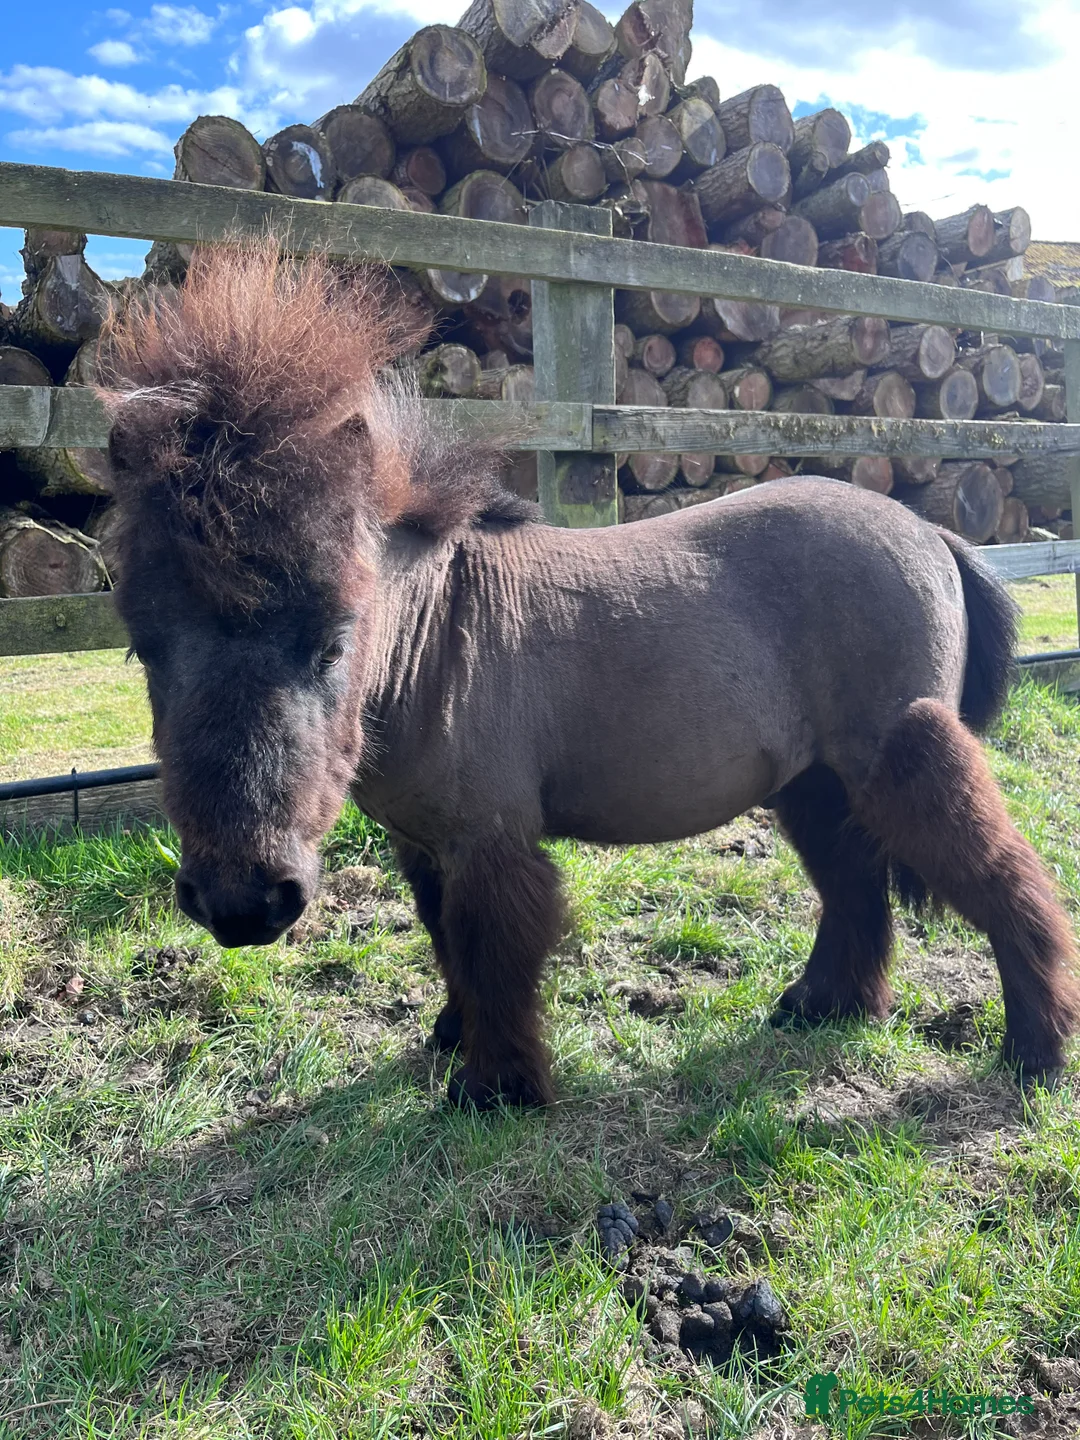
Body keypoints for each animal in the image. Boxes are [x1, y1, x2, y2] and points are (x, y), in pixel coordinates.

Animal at [97, 240, 1079, 1108]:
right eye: (144, 646)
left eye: (333, 640)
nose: (241, 903)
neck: (435, 642)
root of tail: (932, 532)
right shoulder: (428, 844)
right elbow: (448, 944)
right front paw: (453, 1039)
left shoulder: (490, 839)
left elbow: (493, 952)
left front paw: (496, 1091)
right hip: (816, 779)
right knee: (854, 888)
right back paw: (826, 1010)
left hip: (900, 754)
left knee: (1005, 880)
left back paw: (1034, 1054)